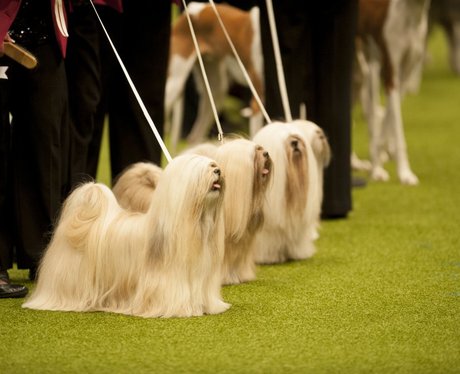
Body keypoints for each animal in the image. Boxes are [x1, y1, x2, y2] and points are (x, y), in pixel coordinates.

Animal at [352, 0, 432, 185]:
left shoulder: (403, 78)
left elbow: (387, 121)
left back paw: (355, 162)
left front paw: (378, 163)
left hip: (360, 74)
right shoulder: (390, 74)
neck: (411, 13)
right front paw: (404, 173)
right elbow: (397, 128)